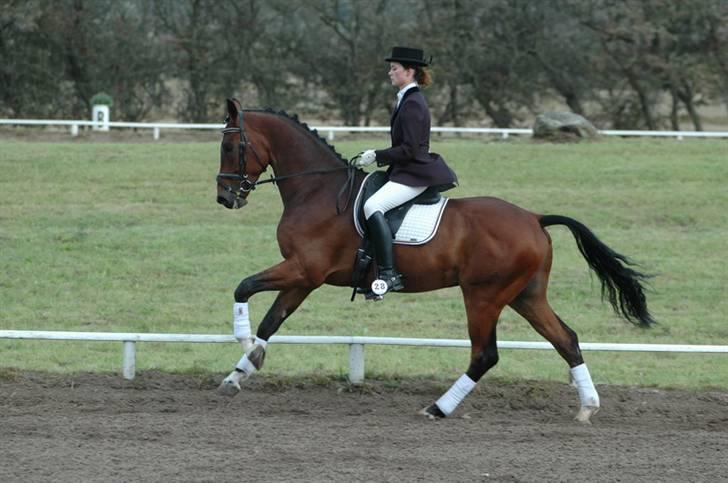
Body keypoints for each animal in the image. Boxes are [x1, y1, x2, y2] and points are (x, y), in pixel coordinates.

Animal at [213, 98, 652, 424]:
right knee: (566, 340)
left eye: (230, 147)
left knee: (485, 354)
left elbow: (243, 287)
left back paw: (438, 408)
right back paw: (587, 407)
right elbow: (271, 320)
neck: (317, 190)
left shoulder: (305, 269)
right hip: (525, 295)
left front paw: (245, 346)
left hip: (483, 296)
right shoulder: (303, 278)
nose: (224, 198)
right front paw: (239, 372)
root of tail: (533, 217)